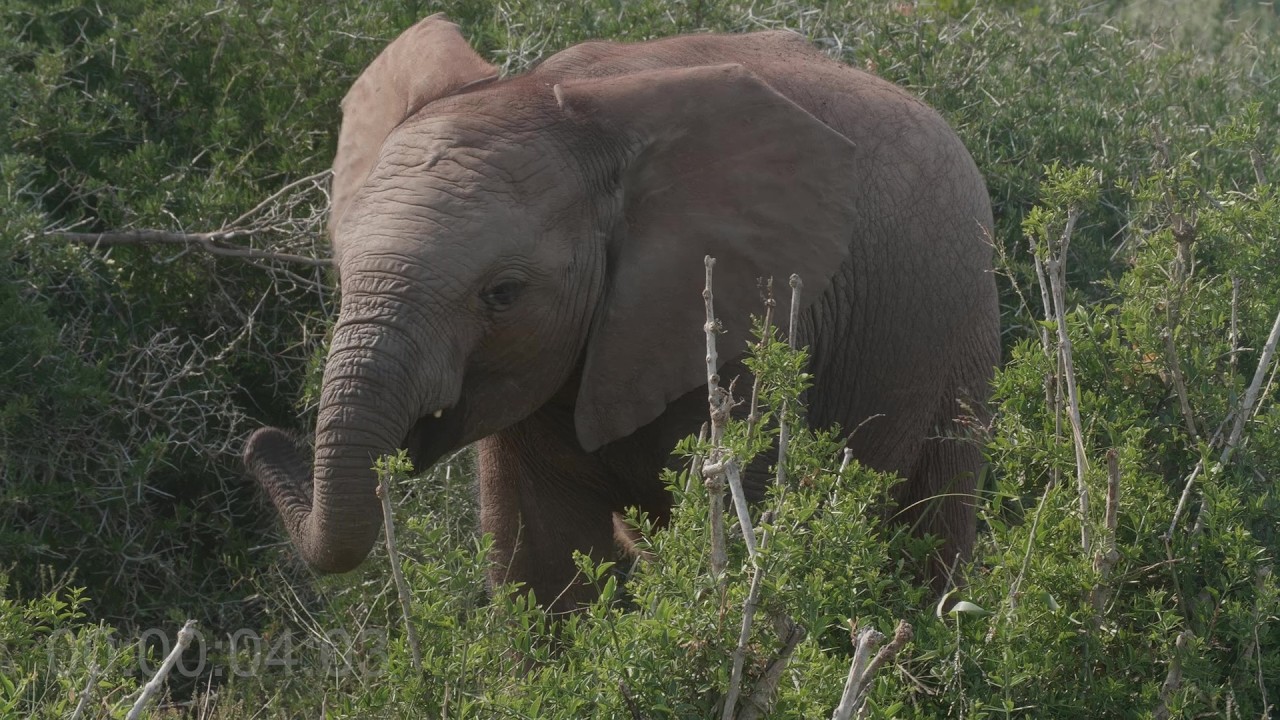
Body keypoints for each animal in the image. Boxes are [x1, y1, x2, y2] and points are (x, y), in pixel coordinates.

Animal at [244, 14, 1000, 613]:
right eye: (342, 271)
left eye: (503, 293)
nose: (261, 439)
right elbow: (542, 567)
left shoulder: (745, 321)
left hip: (966, 321)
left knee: (932, 515)